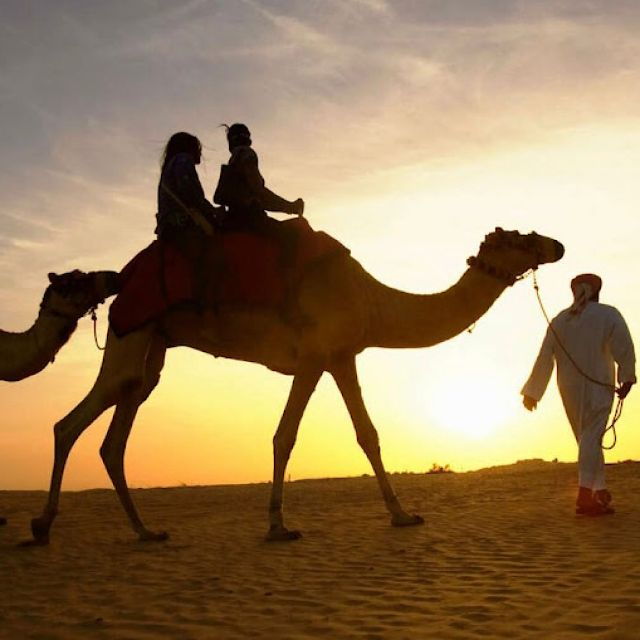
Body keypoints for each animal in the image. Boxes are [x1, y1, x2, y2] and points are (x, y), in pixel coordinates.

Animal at [26, 228, 564, 545]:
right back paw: (44, 523)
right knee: (69, 423)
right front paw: (278, 524)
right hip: (131, 335)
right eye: (521, 236)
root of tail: (122, 283)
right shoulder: (312, 357)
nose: (557, 245)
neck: (372, 300)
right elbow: (285, 435)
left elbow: (368, 435)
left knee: (114, 433)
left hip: (151, 350)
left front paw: (402, 515)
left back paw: (144, 530)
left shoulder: (342, 357)